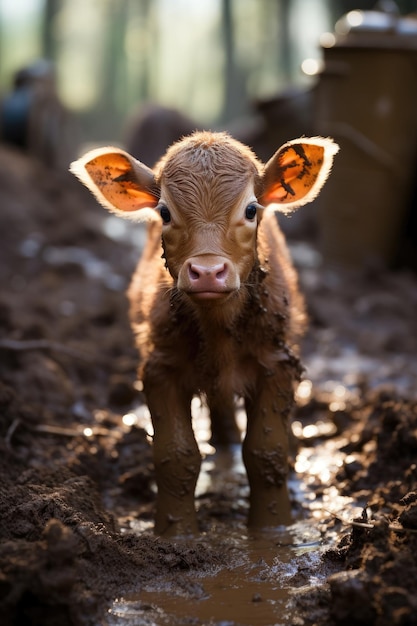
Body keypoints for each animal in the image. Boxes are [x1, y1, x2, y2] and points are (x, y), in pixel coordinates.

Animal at [70, 129, 338, 532]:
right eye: (164, 212)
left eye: (251, 210)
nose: (208, 272)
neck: (218, 329)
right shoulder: (159, 367)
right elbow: (175, 455)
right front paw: (175, 532)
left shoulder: (278, 363)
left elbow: (267, 452)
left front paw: (273, 528)